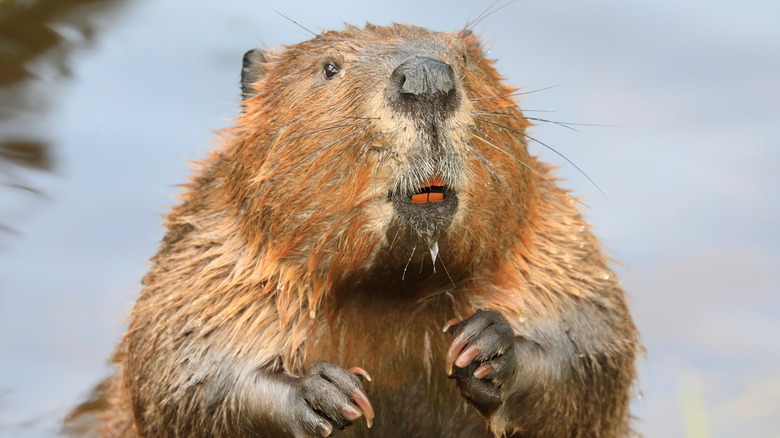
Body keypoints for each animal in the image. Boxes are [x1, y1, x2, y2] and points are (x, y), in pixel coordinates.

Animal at [70, 22, 636, 436]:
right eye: (329, 68)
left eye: (466, 59)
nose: (427, 78)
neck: (392, 291)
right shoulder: (211, 253)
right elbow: (180, 368)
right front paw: (326, 393)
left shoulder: (551, 239)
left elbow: (595, 340)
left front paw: (485, 347)